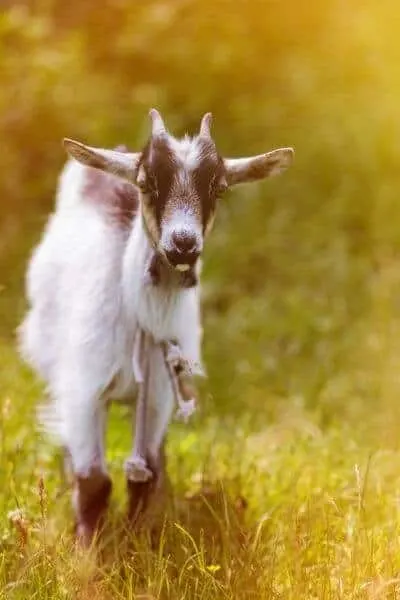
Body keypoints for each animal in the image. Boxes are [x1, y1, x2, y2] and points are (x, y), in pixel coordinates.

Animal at [18, 108, 294, 544]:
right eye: (147, 184)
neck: (140, 317)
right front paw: (86, 551)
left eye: (218, 188)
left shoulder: (159, 394)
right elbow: (94, 481)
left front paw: (140, 544)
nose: (183, 244)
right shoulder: (84, 390)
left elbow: (143, 477)